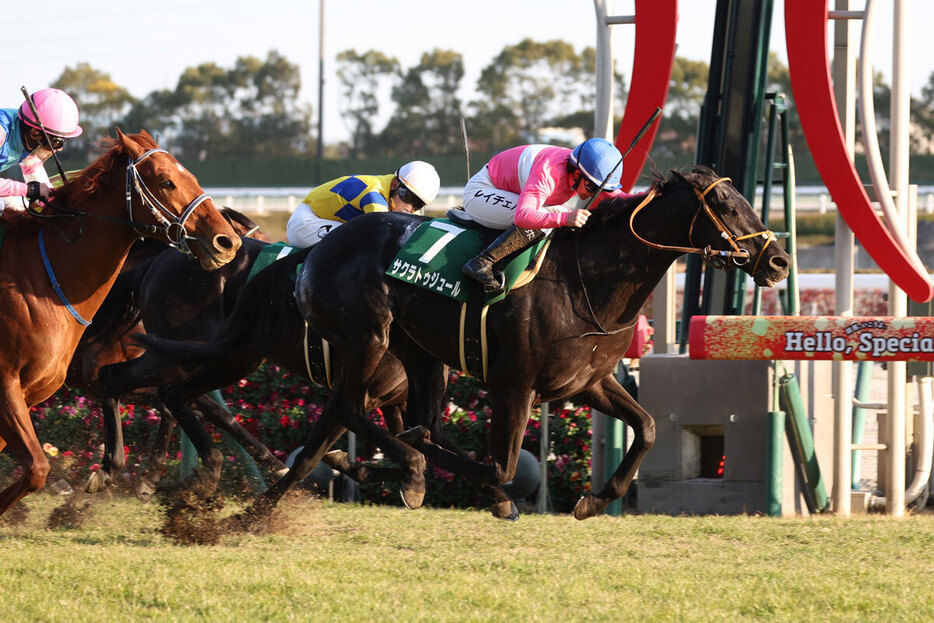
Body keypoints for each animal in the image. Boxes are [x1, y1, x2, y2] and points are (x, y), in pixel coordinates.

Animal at [238, 165, 792, 520]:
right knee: (350, 410)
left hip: (418, 356)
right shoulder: (514, 384)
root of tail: (316, 250)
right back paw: (403, 470)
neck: (585, 283)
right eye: (725, 203)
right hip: (368, 338)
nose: (779, 261)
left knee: (357, 419)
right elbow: (501, 465)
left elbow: (649, 427)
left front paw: (594, 500)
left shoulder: (588, 382)